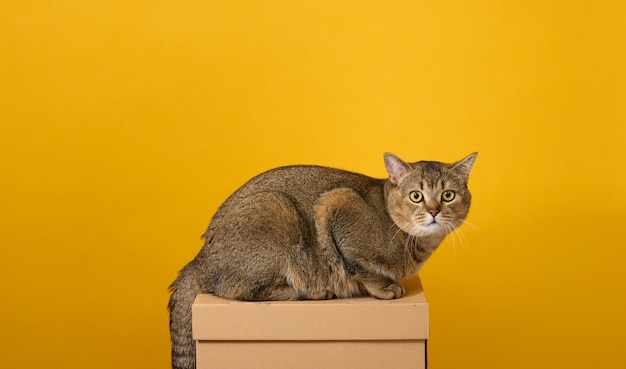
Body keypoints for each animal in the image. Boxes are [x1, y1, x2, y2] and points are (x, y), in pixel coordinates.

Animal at [168, 151, 476, 366]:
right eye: (416, 196)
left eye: (448, 195)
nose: (434, 211)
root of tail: (200, 259)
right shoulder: (336, 205)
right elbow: (357, 265)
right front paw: (383, 287)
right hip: (277, 208)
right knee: (236, 289)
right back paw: (312, 292)